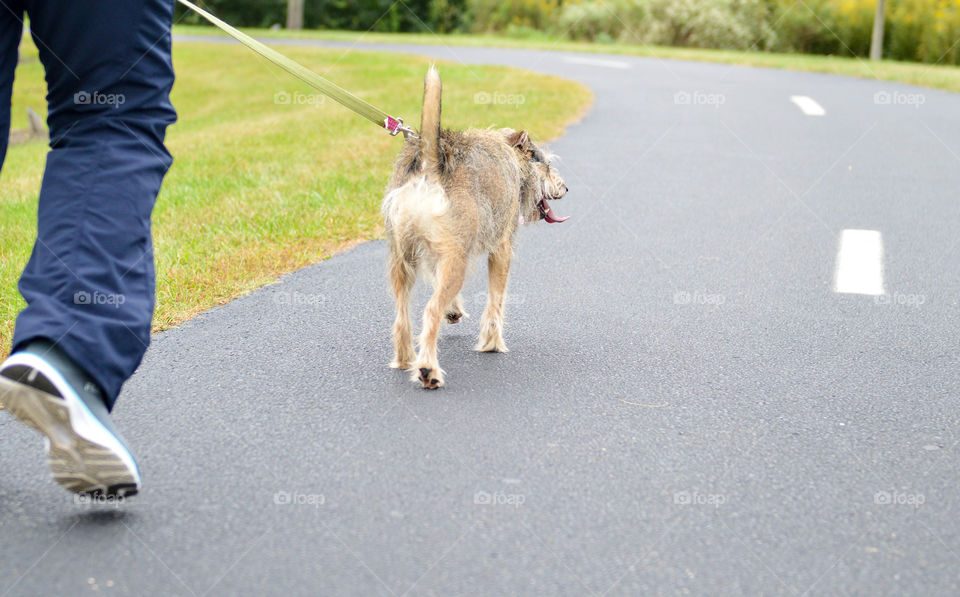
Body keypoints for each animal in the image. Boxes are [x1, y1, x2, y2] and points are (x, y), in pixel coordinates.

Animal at [378, 67, 568, 388]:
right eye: (544, 164)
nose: (566, 187)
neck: (508, 153)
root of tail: (429, 168)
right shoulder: (501, 250)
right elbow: (496, 301)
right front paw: (492, 343)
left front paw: (454, 310)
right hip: (456, 262)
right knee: (430, 310)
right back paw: (428, 369)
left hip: (402, 260)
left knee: (402, 316)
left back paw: (405, 360)